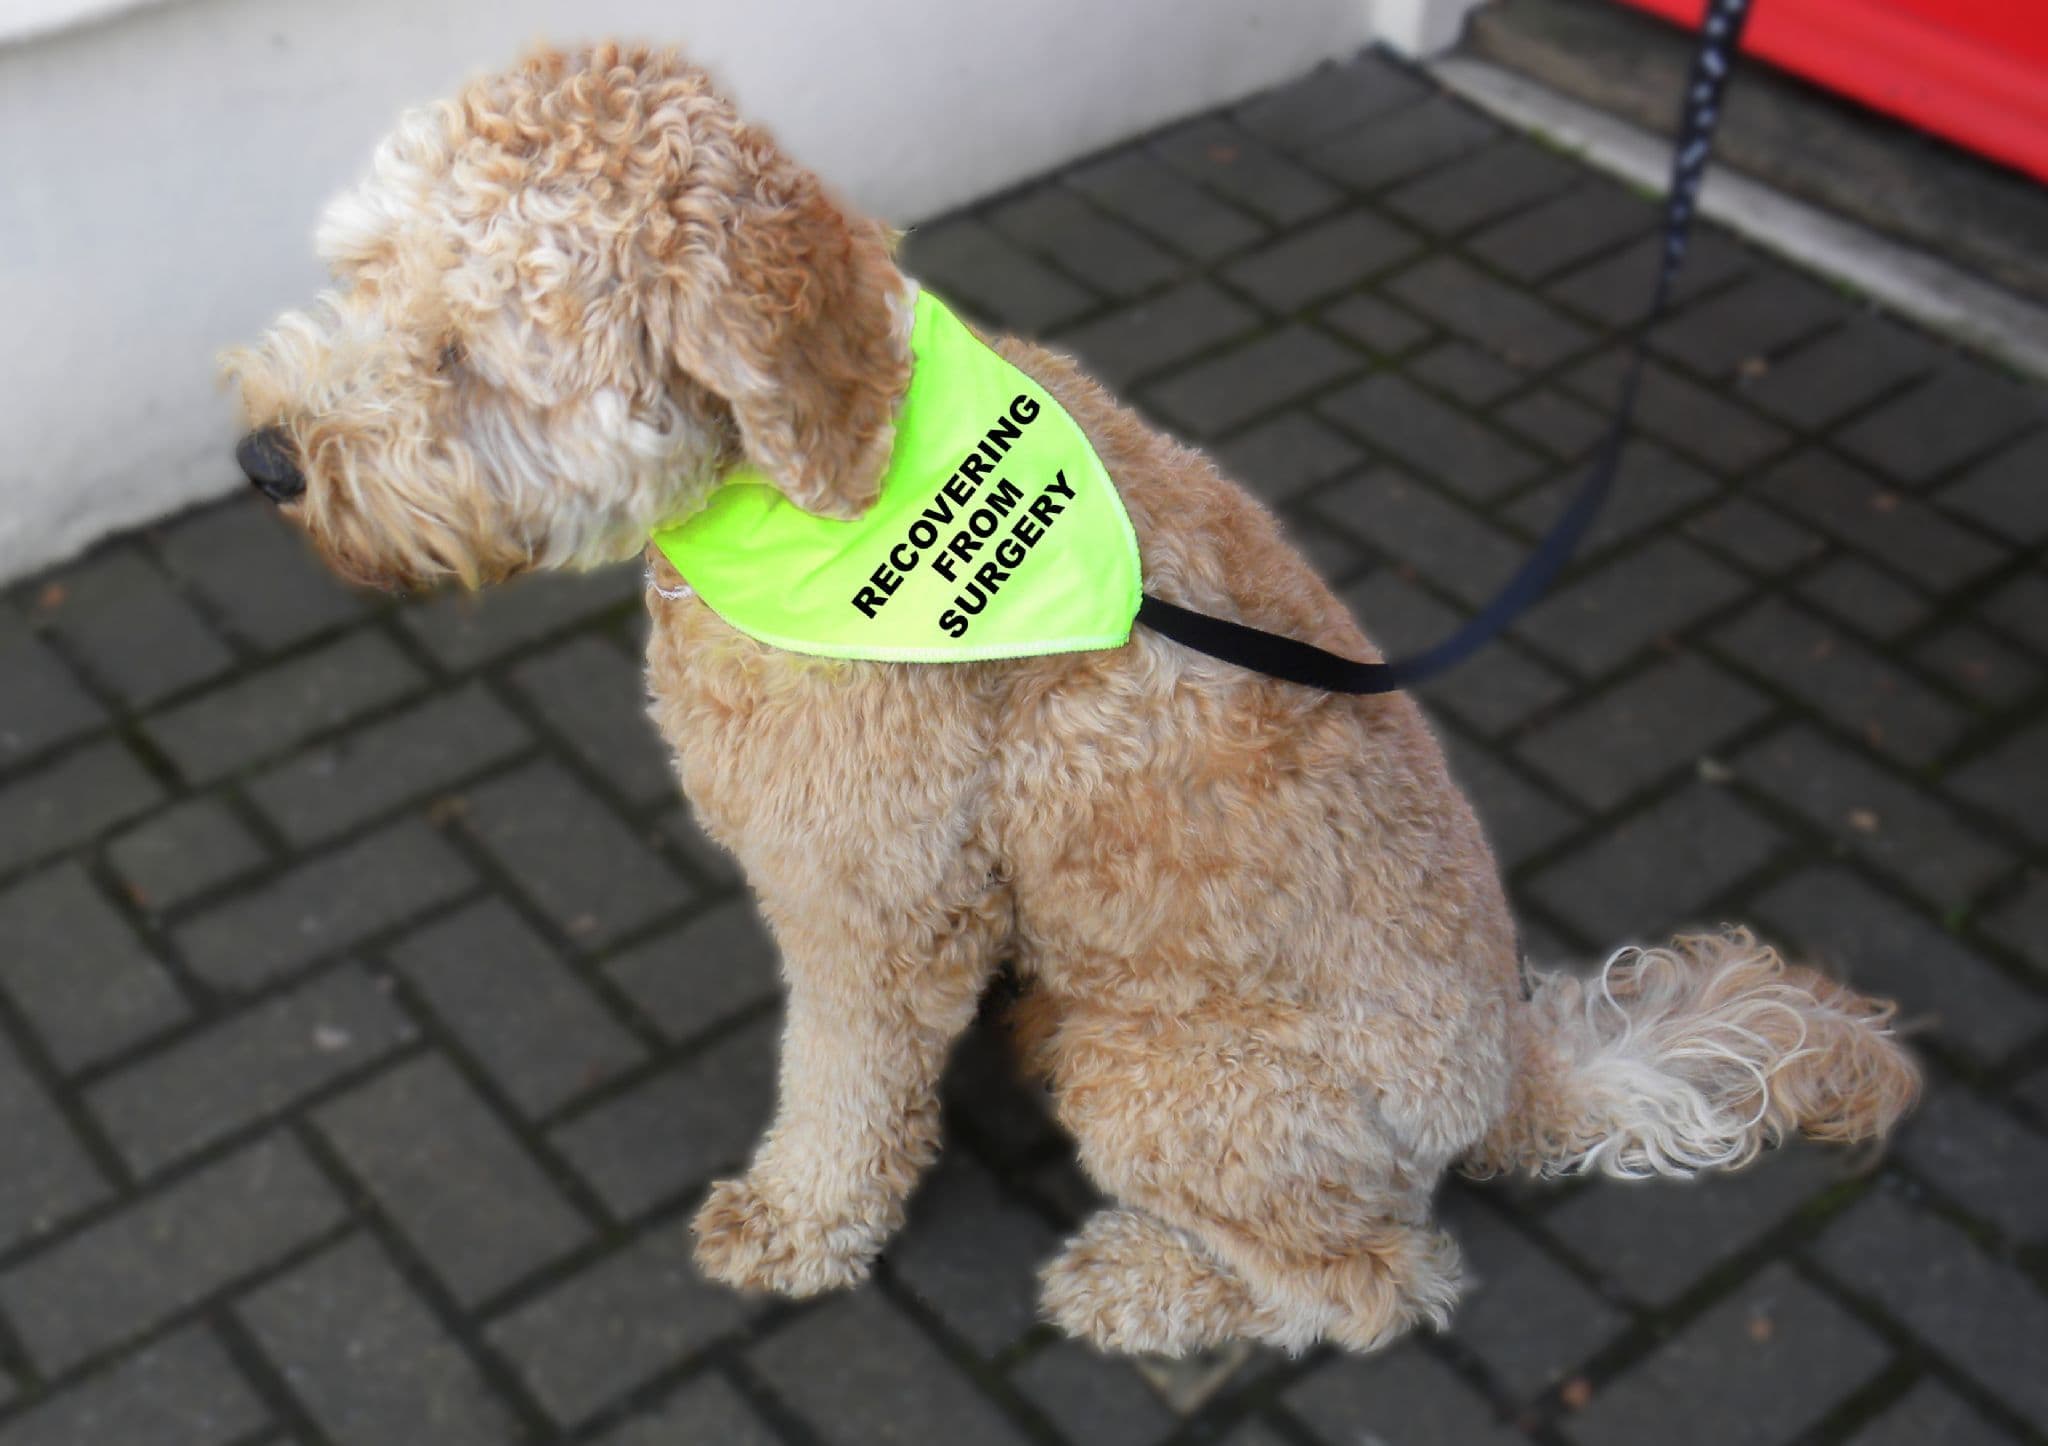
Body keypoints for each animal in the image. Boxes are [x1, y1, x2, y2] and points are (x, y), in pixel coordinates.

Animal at [228, 42, 1916, 1351]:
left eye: (465, 358)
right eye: (359, 276)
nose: (261, 459)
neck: (805, 479)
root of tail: (1514, 1071)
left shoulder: (874, 901)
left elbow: (841, 1085)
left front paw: (800, 1224)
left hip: (1177, 1078)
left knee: (1381, 1282)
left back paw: (1143, 1287)